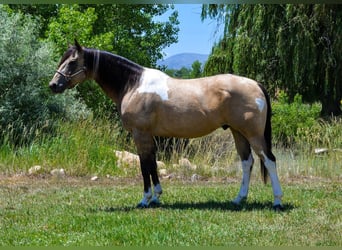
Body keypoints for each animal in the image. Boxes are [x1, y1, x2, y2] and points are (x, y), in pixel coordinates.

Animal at [48, 40, 284, 211]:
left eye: (71, 62)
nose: (53, 85)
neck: (133, 85)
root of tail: (256, 84)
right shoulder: (149, 136)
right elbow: (152, 163)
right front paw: (156, 197)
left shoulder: (140, 134)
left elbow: (144, 166)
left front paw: (145, 199)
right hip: (238, 133)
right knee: (247, 162)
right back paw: (238, 199)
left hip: (253, 134)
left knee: (269, 161)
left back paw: (277, 201)